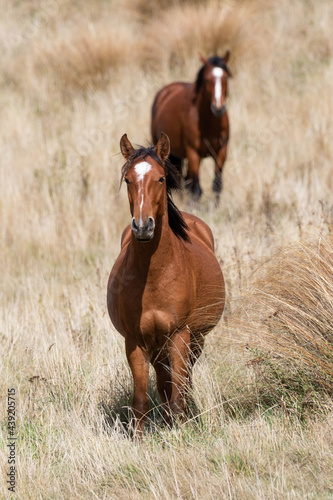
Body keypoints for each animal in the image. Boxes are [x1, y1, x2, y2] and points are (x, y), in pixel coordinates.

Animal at [107, 132, 224, 438]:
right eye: (128, 180)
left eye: (160, 178)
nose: (143, 227)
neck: (155, 276)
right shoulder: (136, 341)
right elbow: (141, 399)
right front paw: (140, 439)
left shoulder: (179, 335)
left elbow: (178, 394)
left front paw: (179, 432)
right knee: (164, 382)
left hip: (194, 339)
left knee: (182, 382)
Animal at [150, 51, 231, 202]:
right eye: (207, 79)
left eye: (226, 77)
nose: (218, 108)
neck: (209, 123)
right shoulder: (193, 153)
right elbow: (196, 189)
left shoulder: (221, 151)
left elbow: (217, 185)